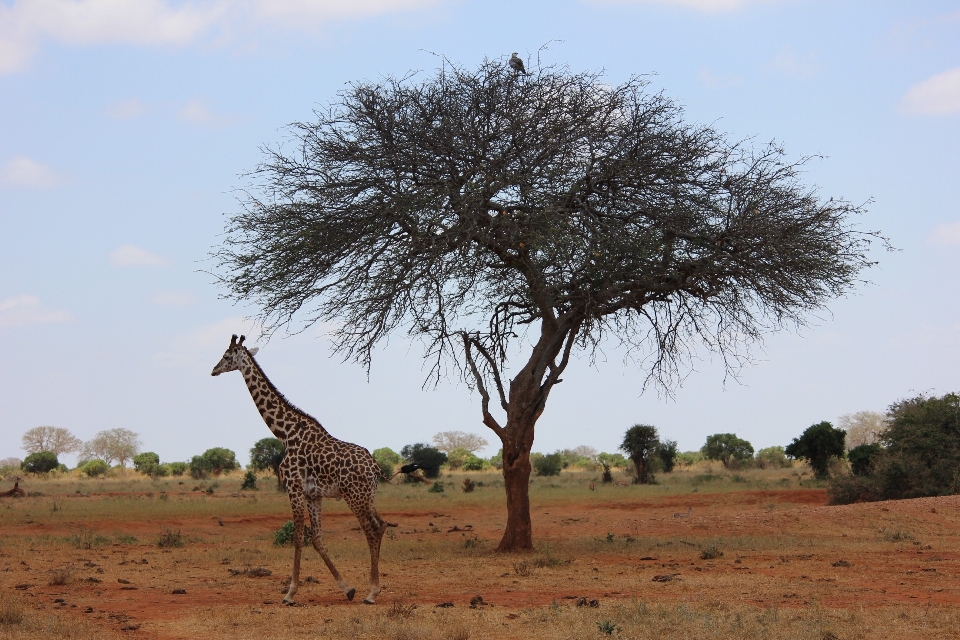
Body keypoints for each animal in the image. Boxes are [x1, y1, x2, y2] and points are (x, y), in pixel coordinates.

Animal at [212, 336, 392, 604]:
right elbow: (316, 538)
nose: (213, 370)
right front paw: (347, 588)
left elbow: (297, 536)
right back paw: (370, 589)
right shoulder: (313, 494)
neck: (284, 433)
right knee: (381, 525)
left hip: (354, 495)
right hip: (368, 494)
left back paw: (372, 592)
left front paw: (290, 593)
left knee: (371, 529)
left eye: (225, 356)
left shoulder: (294, 488)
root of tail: (374, 466)